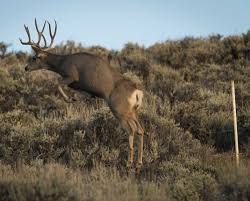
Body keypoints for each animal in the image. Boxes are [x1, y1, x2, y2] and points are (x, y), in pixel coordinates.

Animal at [20, 19, 145, 176]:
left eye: (34, 57)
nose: (26, 68)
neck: (62, 62)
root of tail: (137, 92)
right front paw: (74, 99)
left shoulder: (72, 76)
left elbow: (57, 84)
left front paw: (70, 99)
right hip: (133, 111)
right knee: (140, 130)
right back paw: (138, 166)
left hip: (119, 109)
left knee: (131, 130)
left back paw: (128, 166)